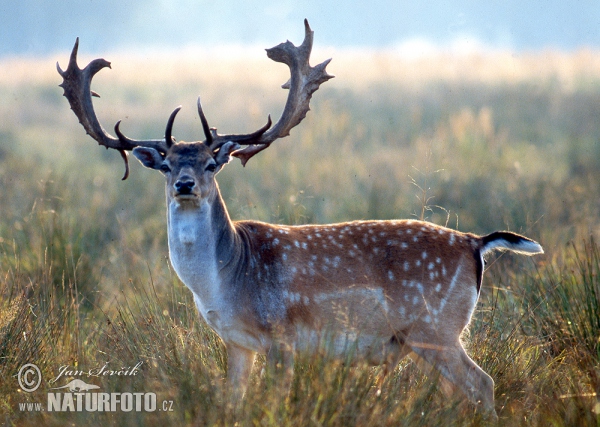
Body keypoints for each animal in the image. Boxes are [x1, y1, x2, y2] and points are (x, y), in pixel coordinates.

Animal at [57, 20, 544, 418]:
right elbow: (231, 401)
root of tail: (475, 242)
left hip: (436, 328)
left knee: (483, 383)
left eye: (212, 163)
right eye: (167, 165)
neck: (223, 280)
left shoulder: (282, 335)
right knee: (458, 392)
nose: (185, 184)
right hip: (427, 337)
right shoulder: (236, 341)